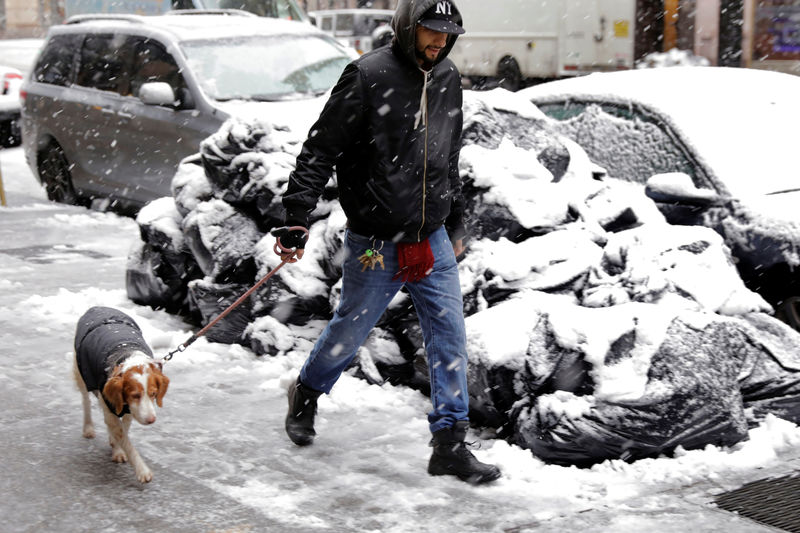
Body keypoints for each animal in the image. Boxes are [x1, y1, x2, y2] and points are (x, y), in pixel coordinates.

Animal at [74, 304, 170, 482]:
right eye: (135, 395)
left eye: (153, 394)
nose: (151, 420)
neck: (127, 353)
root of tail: (98, 306)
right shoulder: (110, 404)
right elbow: (123, 437)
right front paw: (141, 469)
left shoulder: (128, 410)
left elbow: (123, 429)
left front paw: (117, 447)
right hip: (80, 372)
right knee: (86, 401)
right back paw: (88, 427)